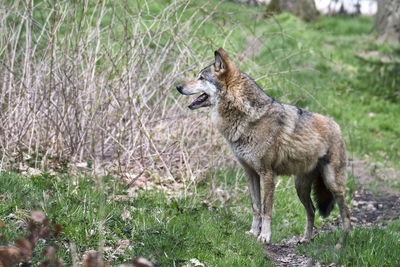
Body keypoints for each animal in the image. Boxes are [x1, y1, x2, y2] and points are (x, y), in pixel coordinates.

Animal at [177, 48, 352, 245]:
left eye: (201, 78)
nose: (178, 87)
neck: (247, 117)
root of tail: (337, 126)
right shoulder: (250, 172)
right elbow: (255, 207)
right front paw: (253, 232)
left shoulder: (267, 174)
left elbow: (267, 209)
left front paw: (265, 236)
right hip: (300, 187)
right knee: (312, 210)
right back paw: (306, 239)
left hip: (333, 184)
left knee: (346, 215)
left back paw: (341, 244)